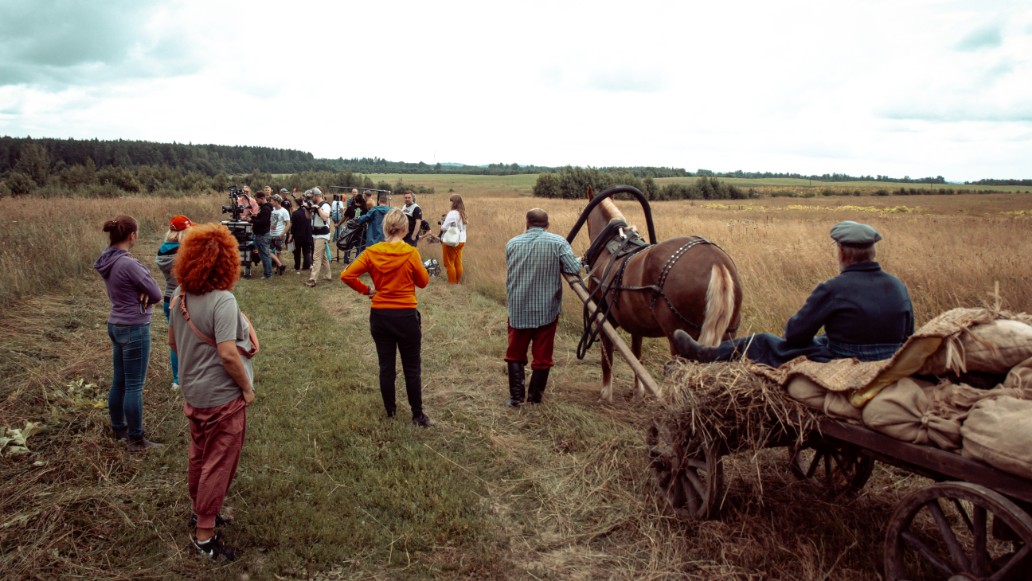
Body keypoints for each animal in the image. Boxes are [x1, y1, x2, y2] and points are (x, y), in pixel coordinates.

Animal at [582, 188, 743, 402]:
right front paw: (638, 391)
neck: (612, 246)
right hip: (728, 336)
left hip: (680, 339)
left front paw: (606, 394)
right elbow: (637, 356)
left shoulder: (603, 318)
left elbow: (606, 355)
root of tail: (717, 262)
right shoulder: (636, 324)